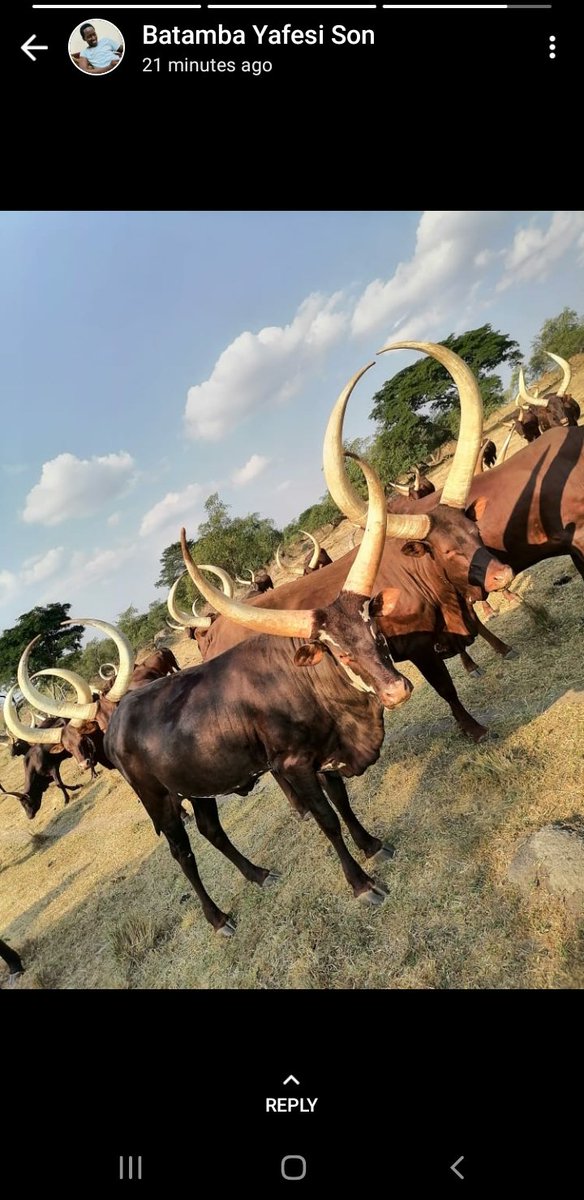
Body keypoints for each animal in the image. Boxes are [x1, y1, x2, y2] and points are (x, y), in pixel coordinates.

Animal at [14, 455, 414, 935]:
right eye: (335, 648)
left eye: (372, 626)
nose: (396, 689)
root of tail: (119, 717)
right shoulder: (293, 764)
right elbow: (327, 819)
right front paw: (361, 884)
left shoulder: (322, 755)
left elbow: (341, 802)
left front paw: (372, 844)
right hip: (160, 802)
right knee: (181, 851)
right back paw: (218, 917)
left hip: (195, 785)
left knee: (212, 831)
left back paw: (258, 874)